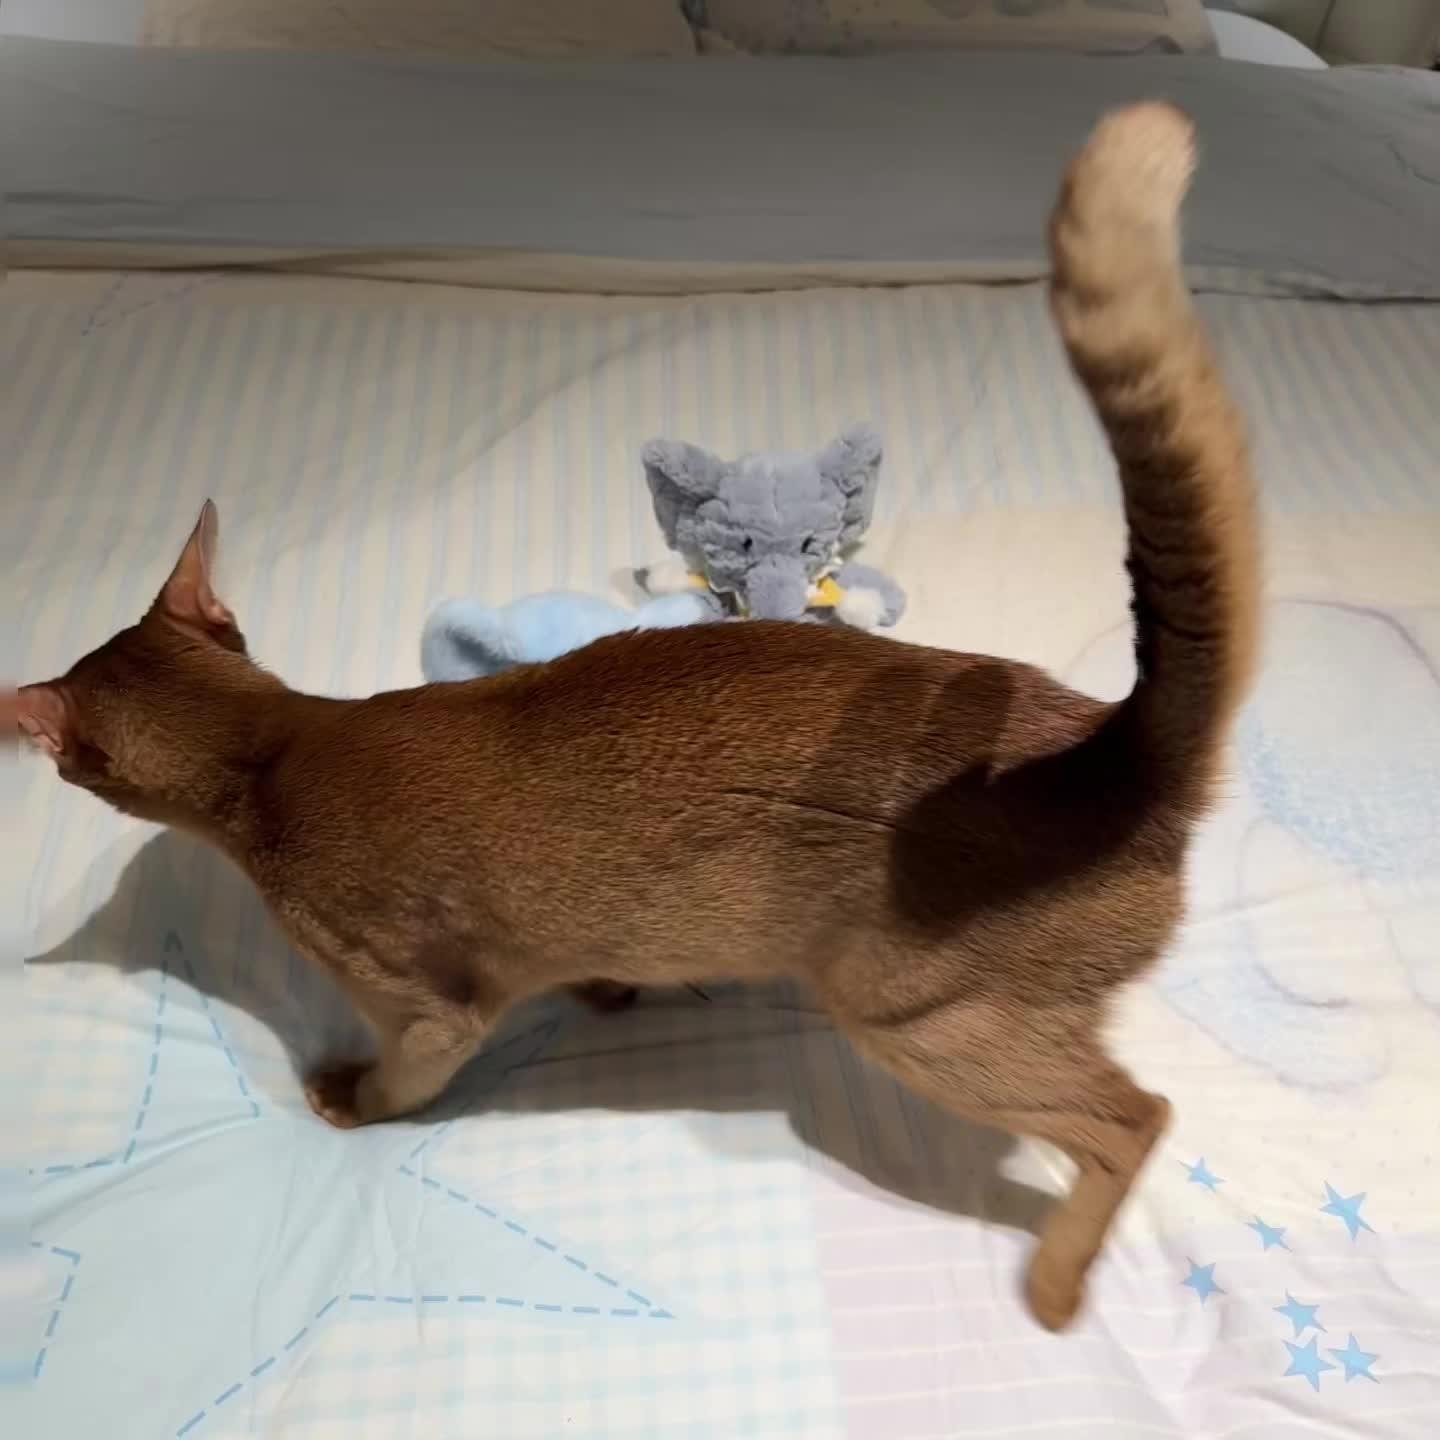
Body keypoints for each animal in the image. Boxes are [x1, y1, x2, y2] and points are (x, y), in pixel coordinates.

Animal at [11, 104, 1258, 1332]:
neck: (277, 749)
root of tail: (1110, 746)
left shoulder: (428, 1006)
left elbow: (410, 1074)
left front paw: (348, 1100)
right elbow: (585, 960)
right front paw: (613, 990)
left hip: (919, 1017)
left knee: (1133, 1117)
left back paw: (1055, 1282)